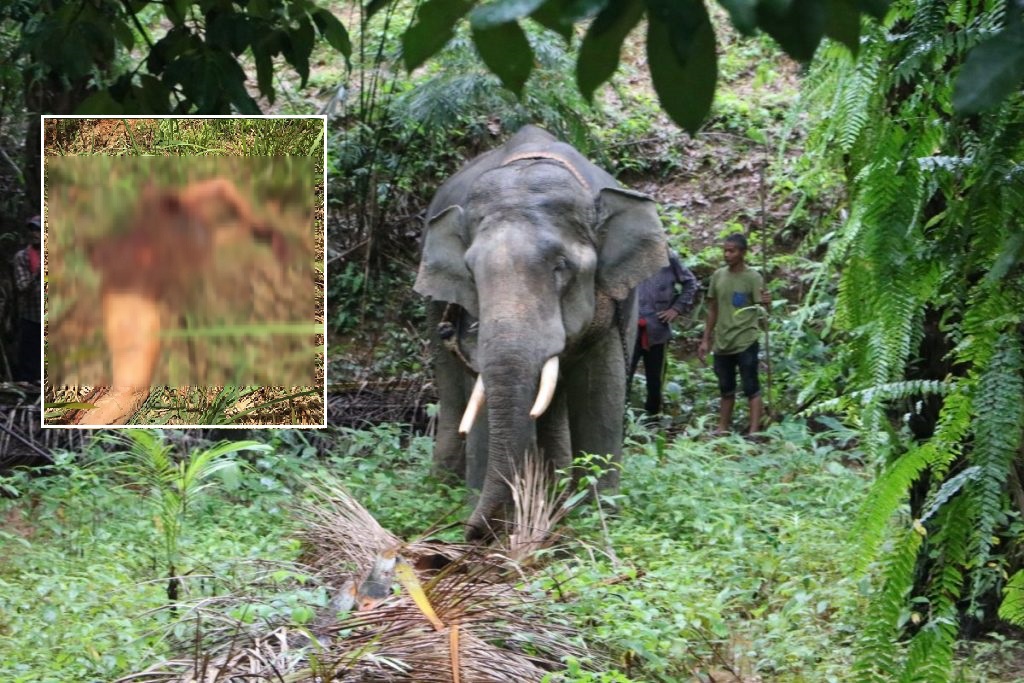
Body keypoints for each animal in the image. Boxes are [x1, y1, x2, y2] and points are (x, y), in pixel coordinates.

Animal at [411, 124, 667, 540]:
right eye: (471, 272)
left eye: (561, 266)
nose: (469, 533)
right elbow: (483, 393)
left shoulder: (617, 302)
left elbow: (601, 392)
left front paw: (597, 517)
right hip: (434, 305)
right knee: (453, 389)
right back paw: (444, 483)